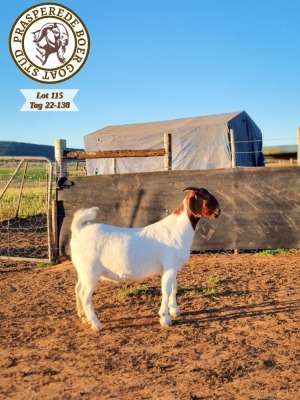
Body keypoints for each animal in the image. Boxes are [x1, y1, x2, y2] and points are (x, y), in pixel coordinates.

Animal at [70, 188, 220, 332]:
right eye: (206, 196)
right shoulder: (170, 266)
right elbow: (166, 290)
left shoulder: (172, 268)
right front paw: (165, 319)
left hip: (83, 271)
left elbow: (174, 287)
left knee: (77, 288)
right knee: (85, 295)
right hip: (90, 271)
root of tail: (78, 231)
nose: (218, 211)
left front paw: (175, 311)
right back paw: (96, 324)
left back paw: (84, 318)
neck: (178, 229)